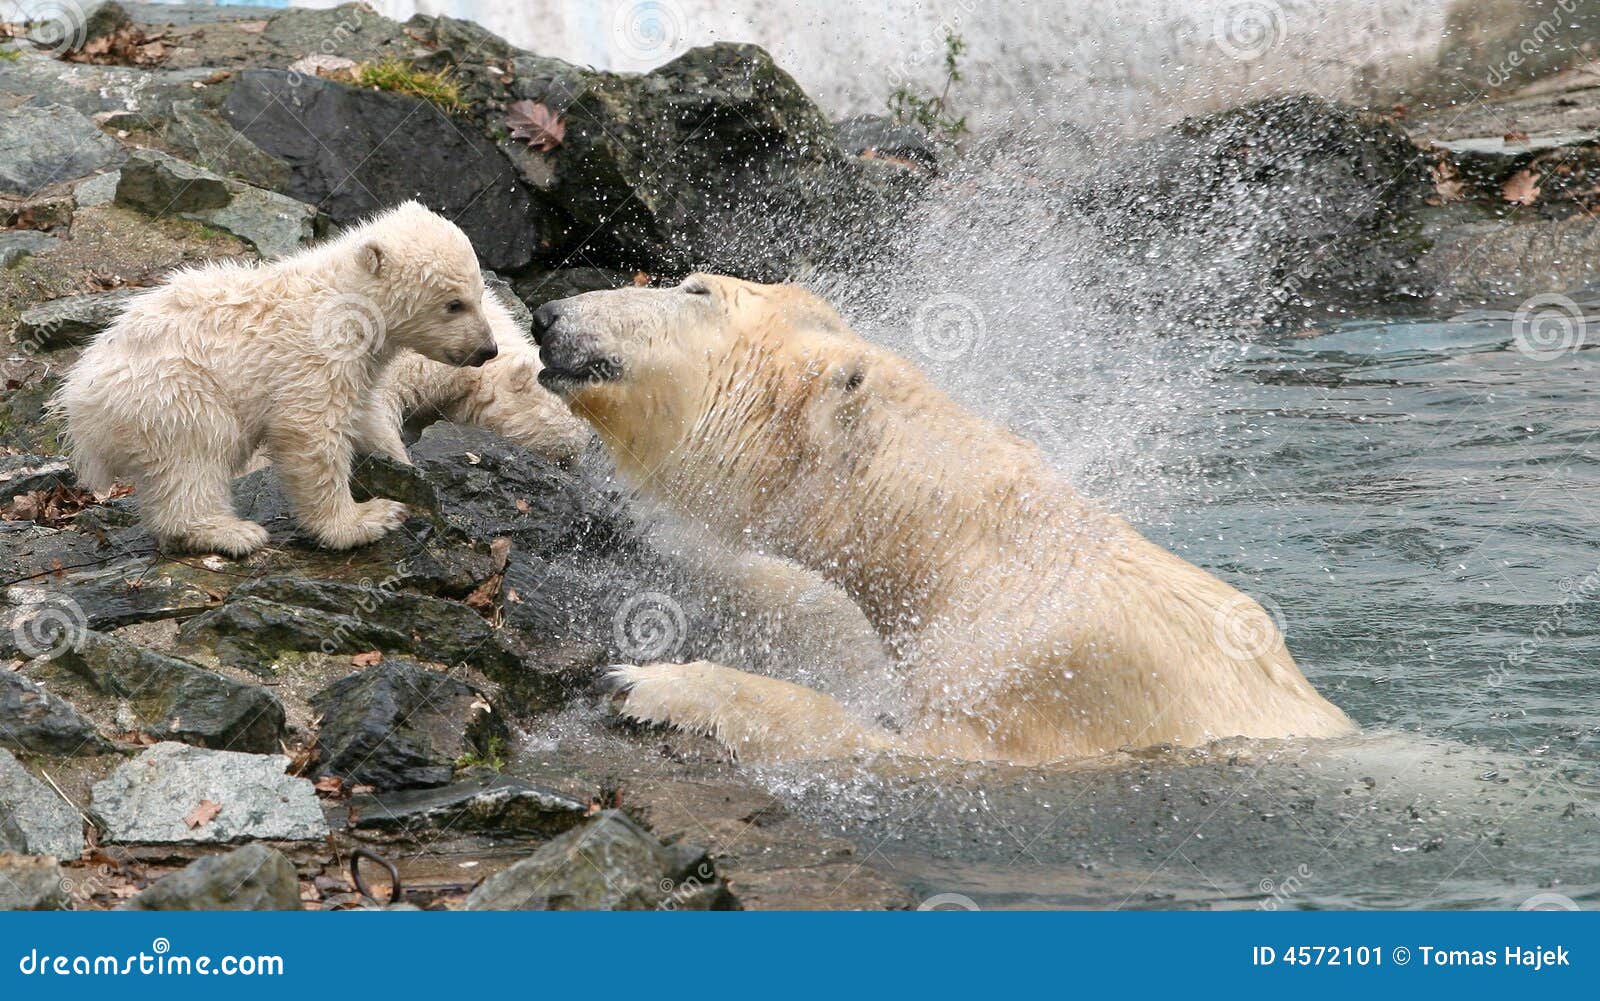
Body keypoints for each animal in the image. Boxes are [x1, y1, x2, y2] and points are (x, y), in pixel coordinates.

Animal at [534, 273, 1350, 764]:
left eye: (695, 289)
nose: (547, 315)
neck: (972, 548)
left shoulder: (1038, 681)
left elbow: (896, 748)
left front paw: (646, 683)